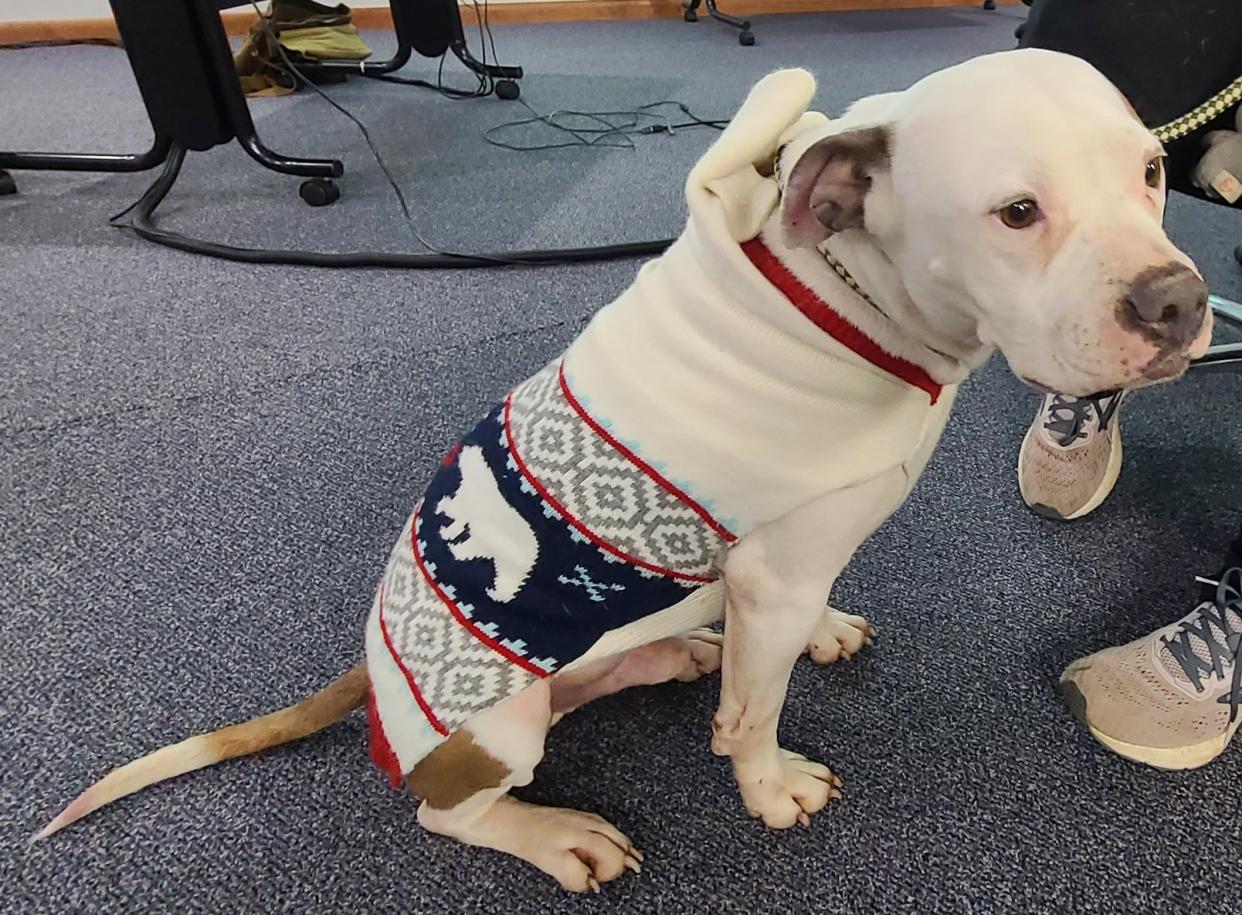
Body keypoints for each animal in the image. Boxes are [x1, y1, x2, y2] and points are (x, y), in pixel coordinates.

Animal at [36, 51, 1212, 893]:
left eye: (1153, 172)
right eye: (1017, 213)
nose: (1179, 303)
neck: (858, 298)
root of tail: (367, 672)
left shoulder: (781, 567)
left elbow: (782, 637)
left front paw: (818, 635)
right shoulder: (775, 569)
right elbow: (755, 711)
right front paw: (768, 786)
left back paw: (664, 654)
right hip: (494, 732)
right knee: (446, 809)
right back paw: (557, 833)